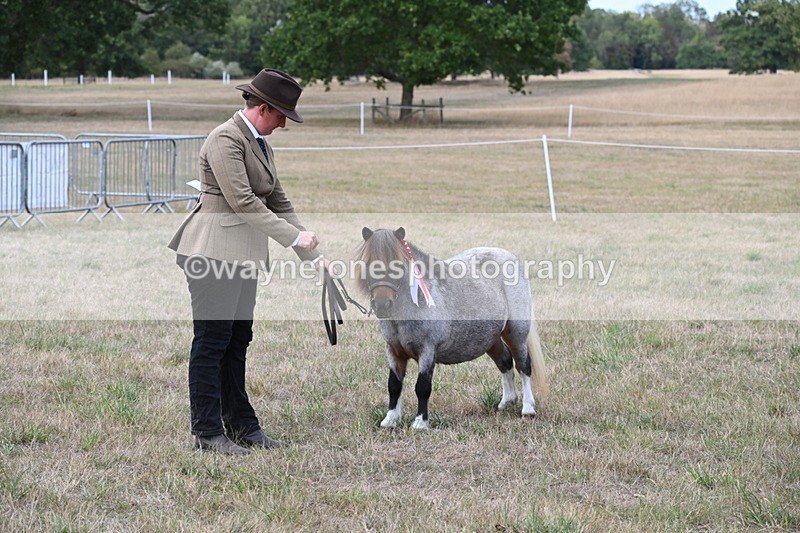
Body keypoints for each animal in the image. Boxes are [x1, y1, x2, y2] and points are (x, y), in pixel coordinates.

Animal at [355, 226, 548, 429]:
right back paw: (507, 402)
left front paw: (420, 422)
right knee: (505, 361)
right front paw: (391, 419)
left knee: (523, 365)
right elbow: (394, 385)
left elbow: (422, 387)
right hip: (491, 338)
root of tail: (510, 256)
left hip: (516, 333)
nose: (382, 304)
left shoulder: (427, 350)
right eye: (368, 263)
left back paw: (528, 408)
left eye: (398, 265)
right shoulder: (394, 351)